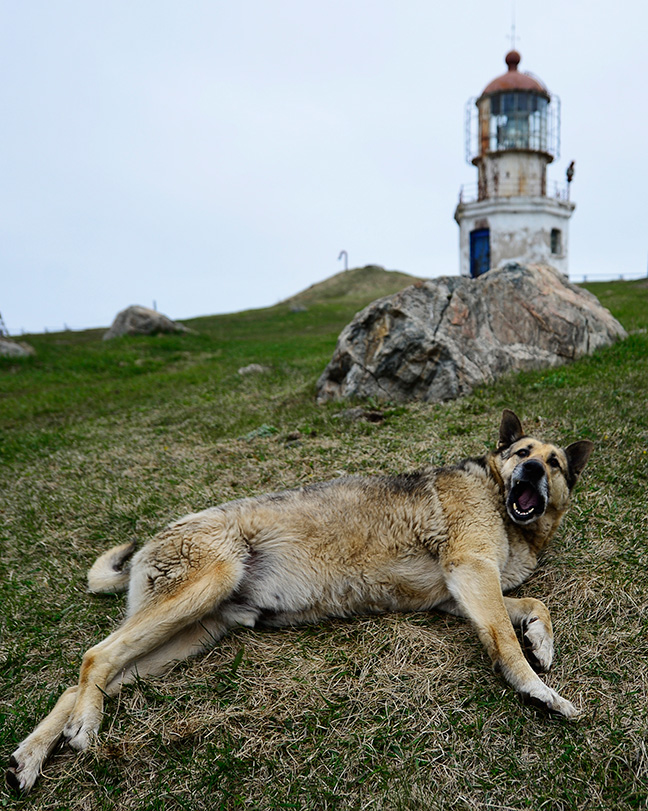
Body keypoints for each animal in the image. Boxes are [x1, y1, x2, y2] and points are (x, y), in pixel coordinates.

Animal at [6, 412, 592, 792]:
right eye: (523, 454)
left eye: (555, 464)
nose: (532, 472)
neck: (498, 496)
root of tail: (154, 538)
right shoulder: (470, 572)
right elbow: (506, 645)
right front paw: (540, 693)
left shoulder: (459, 593)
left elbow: (534, 605)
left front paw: (541, 642)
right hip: (202, 588)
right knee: (94, 656)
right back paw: (85, 727)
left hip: (186, 636)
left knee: (85, 680)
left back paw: (29, 758)